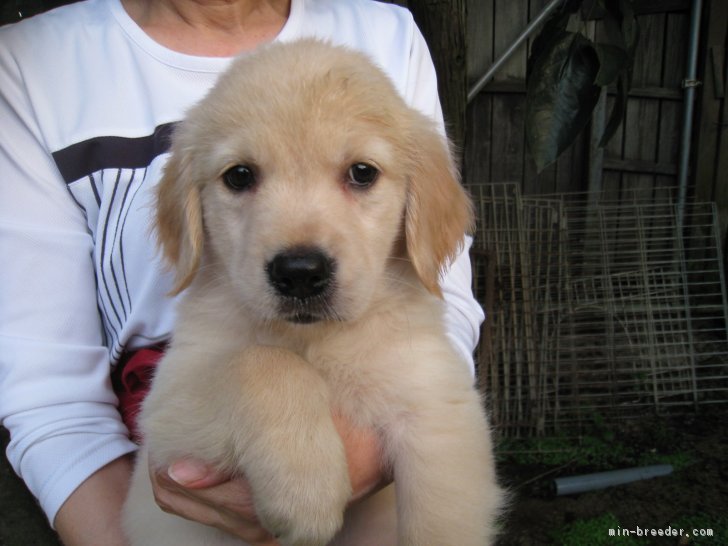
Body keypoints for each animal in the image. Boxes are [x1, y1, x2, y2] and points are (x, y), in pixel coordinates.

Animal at [122, 39, 504, 544]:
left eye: (362, 173)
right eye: (239, 176)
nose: (300, 273)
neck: (316, 340)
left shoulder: (438, 407)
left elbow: (440, 522)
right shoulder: (166, 414)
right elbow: (263, 361)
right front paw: (306, 489)